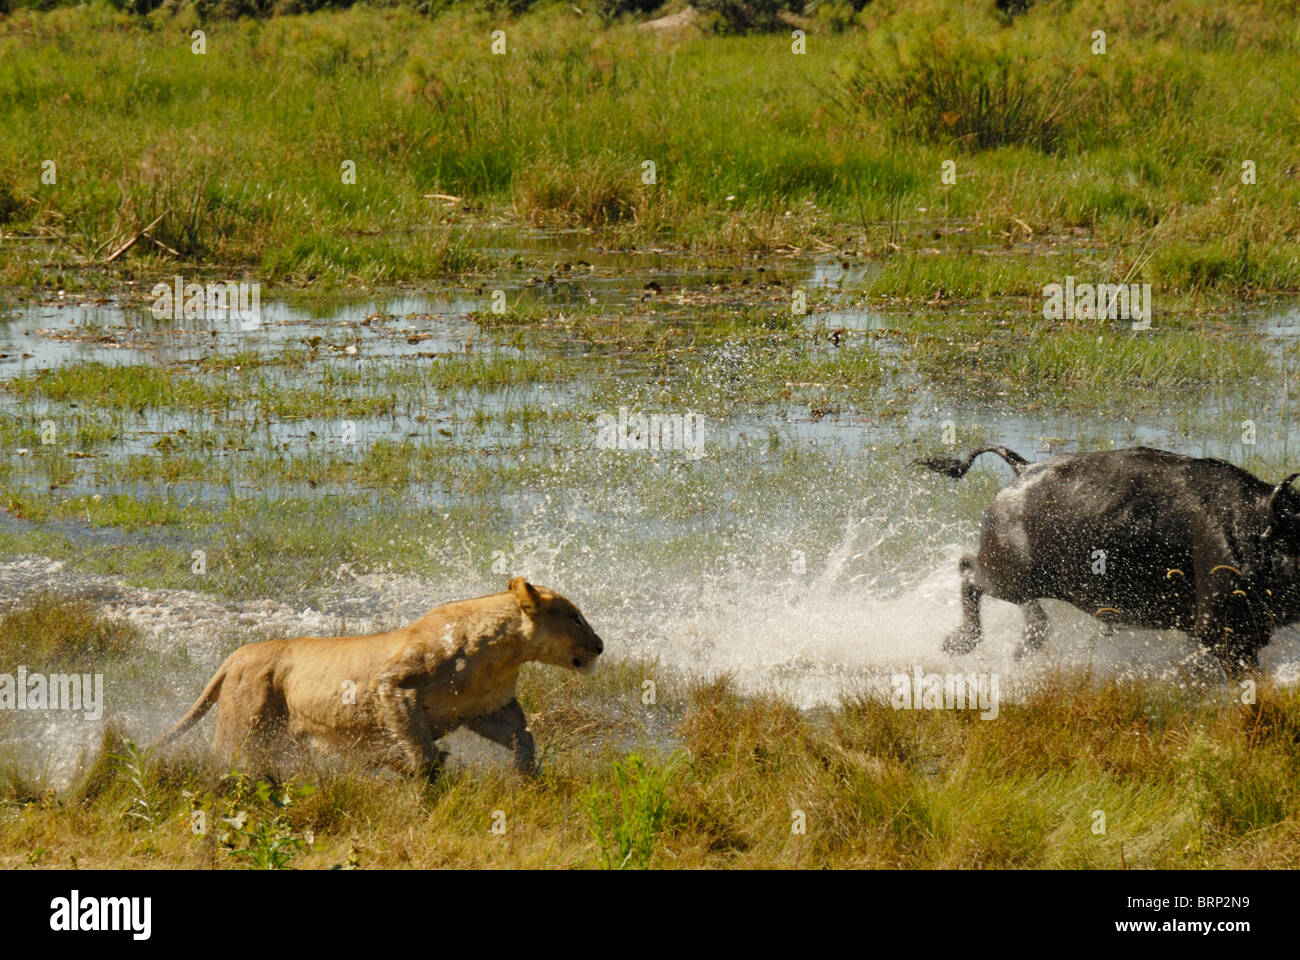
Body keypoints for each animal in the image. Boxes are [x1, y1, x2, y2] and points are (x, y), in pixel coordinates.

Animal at [920, 442, 1300, 671]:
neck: (1254, 527)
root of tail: (1024, 470)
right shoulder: (1224, 633)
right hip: (1008, 575)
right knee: (967, 570)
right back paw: (961, 641)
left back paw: (1026, 642)